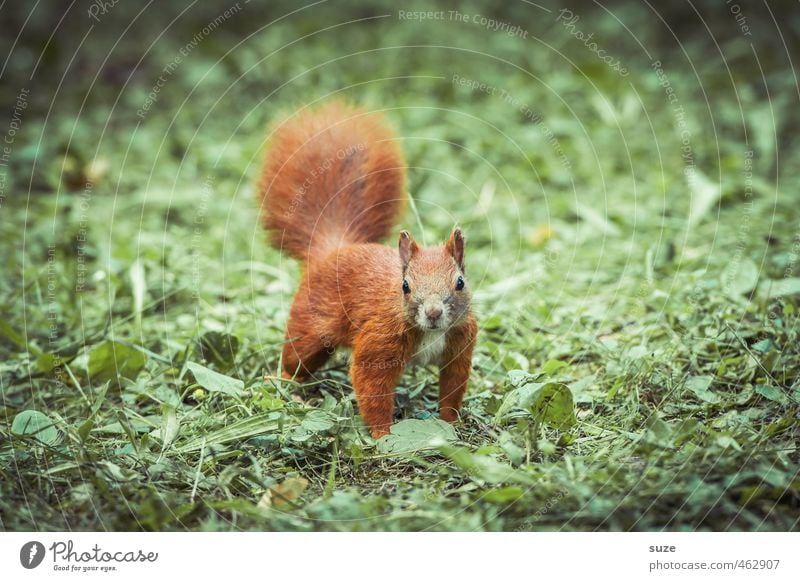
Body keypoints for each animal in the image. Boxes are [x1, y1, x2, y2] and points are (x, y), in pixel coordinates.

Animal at [260, 102, 478, 438]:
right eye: (405, 286)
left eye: (460, 282)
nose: (433, 313)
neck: (430, 332)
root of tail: (333, 249)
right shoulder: (379, 341)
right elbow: (371, 384)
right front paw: (383, 435)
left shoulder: (460, 345)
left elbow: (453, 385)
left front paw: (451, 424)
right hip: (309, 325)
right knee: (296, 358)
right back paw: (282, 382)